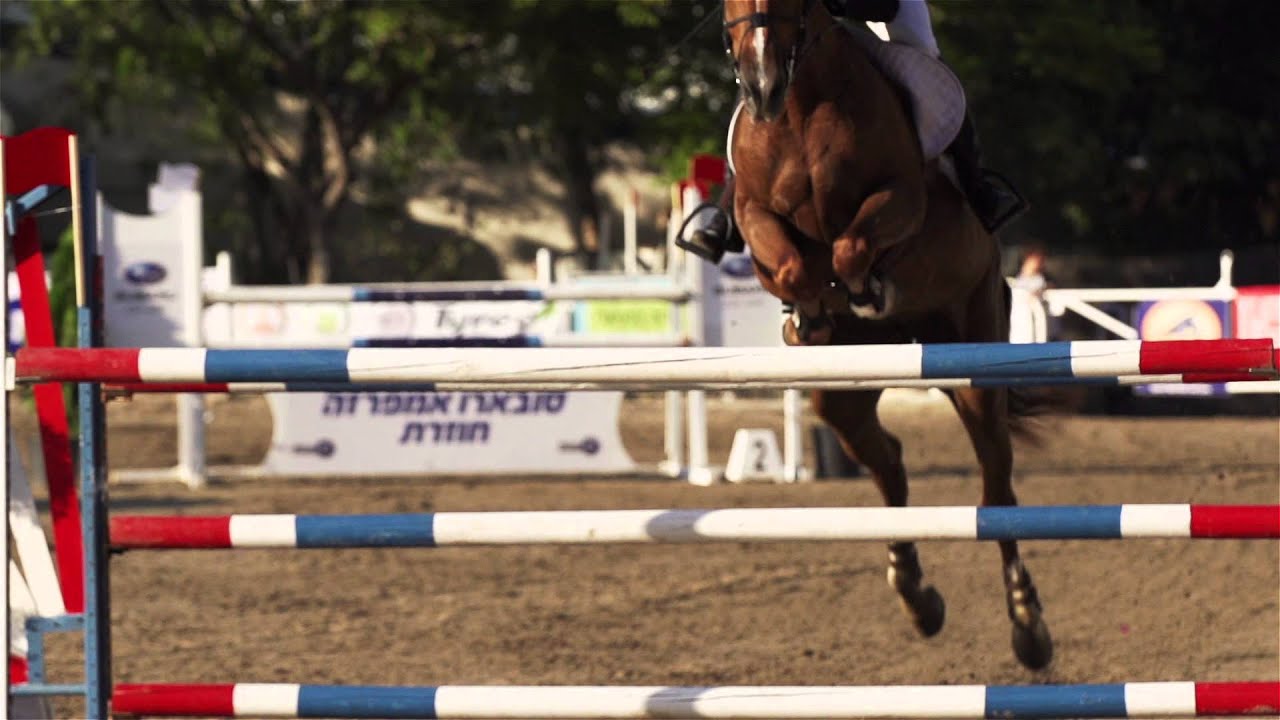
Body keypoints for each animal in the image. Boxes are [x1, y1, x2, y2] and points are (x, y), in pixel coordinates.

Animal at [721, 0, 1054, 669]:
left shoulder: (901, 198)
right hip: (841, 397)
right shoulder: (753, 212)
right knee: (889, 460)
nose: (761, 89)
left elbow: (853, 244)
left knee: (997, 490)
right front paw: (810, 311)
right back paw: (916, 596)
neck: (799, 111)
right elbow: (789, 263)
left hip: (973, 366)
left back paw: (1027, 624)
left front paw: (862, 286)